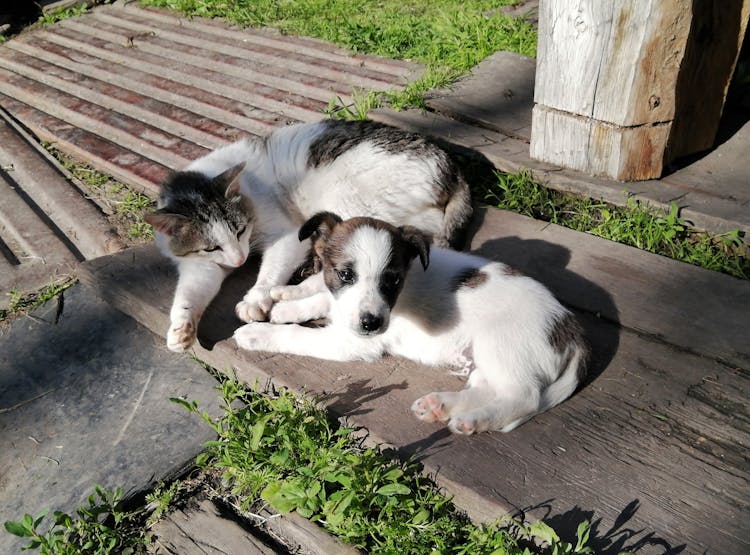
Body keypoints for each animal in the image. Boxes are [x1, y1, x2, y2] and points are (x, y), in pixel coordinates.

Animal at [145, 119, 476, 352]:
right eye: (211, 248)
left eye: (240, 229)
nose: (239, 261)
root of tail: (453, 167)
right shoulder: (201, 265)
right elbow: (189, 292)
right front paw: (181, 328)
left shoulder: (288, 235)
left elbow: (270, 271)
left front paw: (255, 298)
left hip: (346, 198)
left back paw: (293, 290)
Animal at [238, 213, 592, 434]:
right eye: (345, 274)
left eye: (393, 280)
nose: (371, 323)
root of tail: (572, 330)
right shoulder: (343, 303)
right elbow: (321, 298)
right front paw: (286, 305)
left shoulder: (350, 341)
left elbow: (297, 336)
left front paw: (257, 333)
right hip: (486, 357)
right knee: (489, 388)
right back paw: (442, 406)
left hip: (501, 345)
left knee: (524, 396)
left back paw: (474, 421)